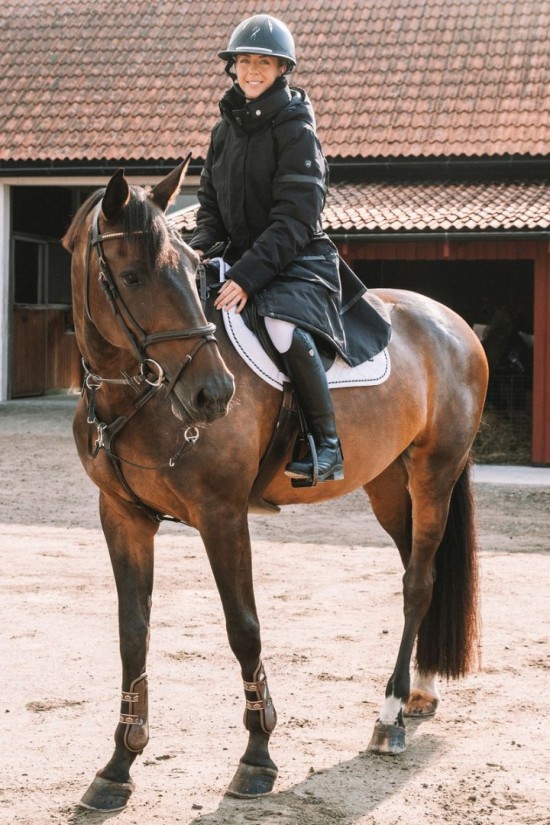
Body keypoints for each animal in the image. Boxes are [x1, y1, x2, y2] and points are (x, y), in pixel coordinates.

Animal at [62, 160, 489, 812]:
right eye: (132, 277)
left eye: (193, 272)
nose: (214, 395)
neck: (137, 394)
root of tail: (454, 323)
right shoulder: (122, 516)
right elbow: (132, 634)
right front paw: (117, 767)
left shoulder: (222, 514)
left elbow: (244, 628)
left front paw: (257, 758)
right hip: (391, 488)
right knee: (425, 573)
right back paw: (421, 690)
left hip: (433, 475)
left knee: (418, 584)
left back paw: (388, 716)